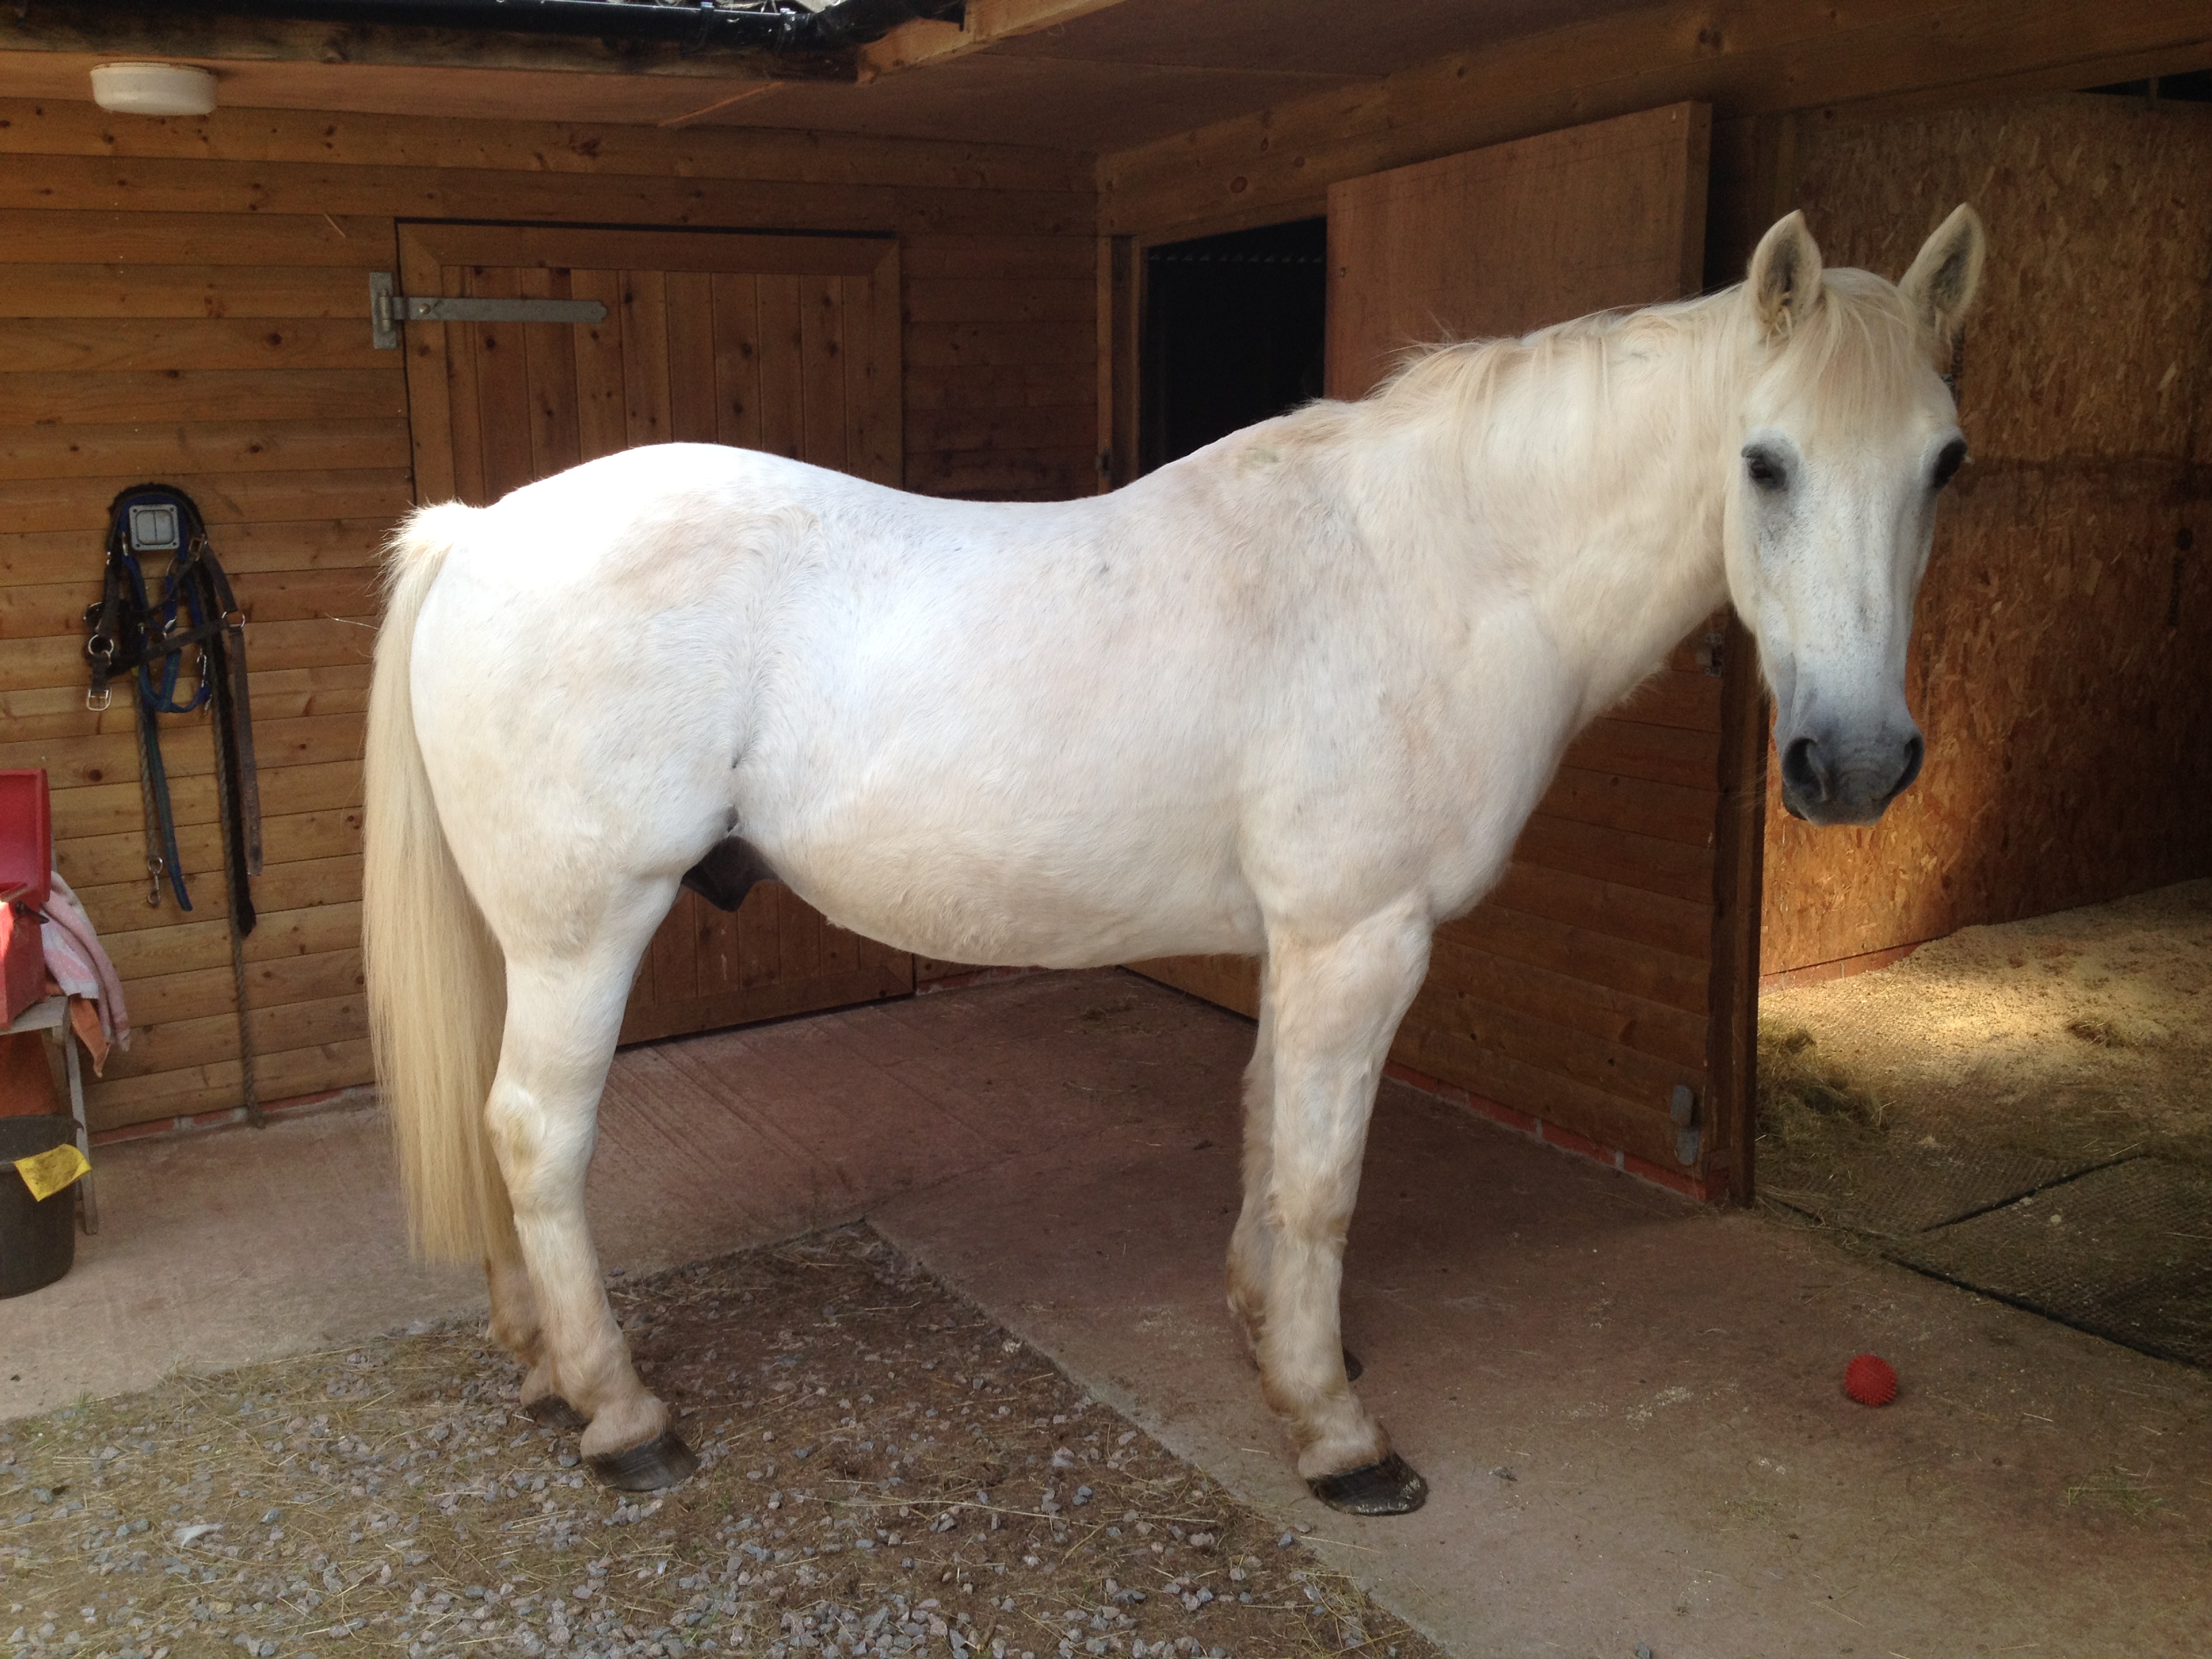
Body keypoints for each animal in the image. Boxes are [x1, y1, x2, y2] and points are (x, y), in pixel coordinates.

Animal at [363, 206, 1986, 1515]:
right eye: (1765, 463)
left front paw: (1274, 1341)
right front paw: (1337, 1436)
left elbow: (1268, 1135)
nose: (1853, 764)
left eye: (1945, 464)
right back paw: (622, 1414)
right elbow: (1324, 1179)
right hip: (586, 935)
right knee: (537, 1135)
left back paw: (543, 1368)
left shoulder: (1301, 942)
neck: (1433, 569)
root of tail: (475, 532)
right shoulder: (1361, 935)